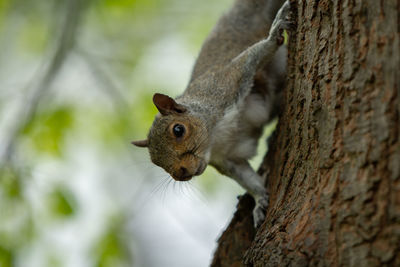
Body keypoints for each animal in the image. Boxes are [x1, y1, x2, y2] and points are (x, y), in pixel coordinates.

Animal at [133, 0, 292, 228]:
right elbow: (246, 178)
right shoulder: (228, 159)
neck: (215, 139)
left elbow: (252, 58)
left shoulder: (225, 85)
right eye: (155, 161)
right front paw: (260, 199)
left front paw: (274, 34)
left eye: (178, 130)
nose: (180, 173)